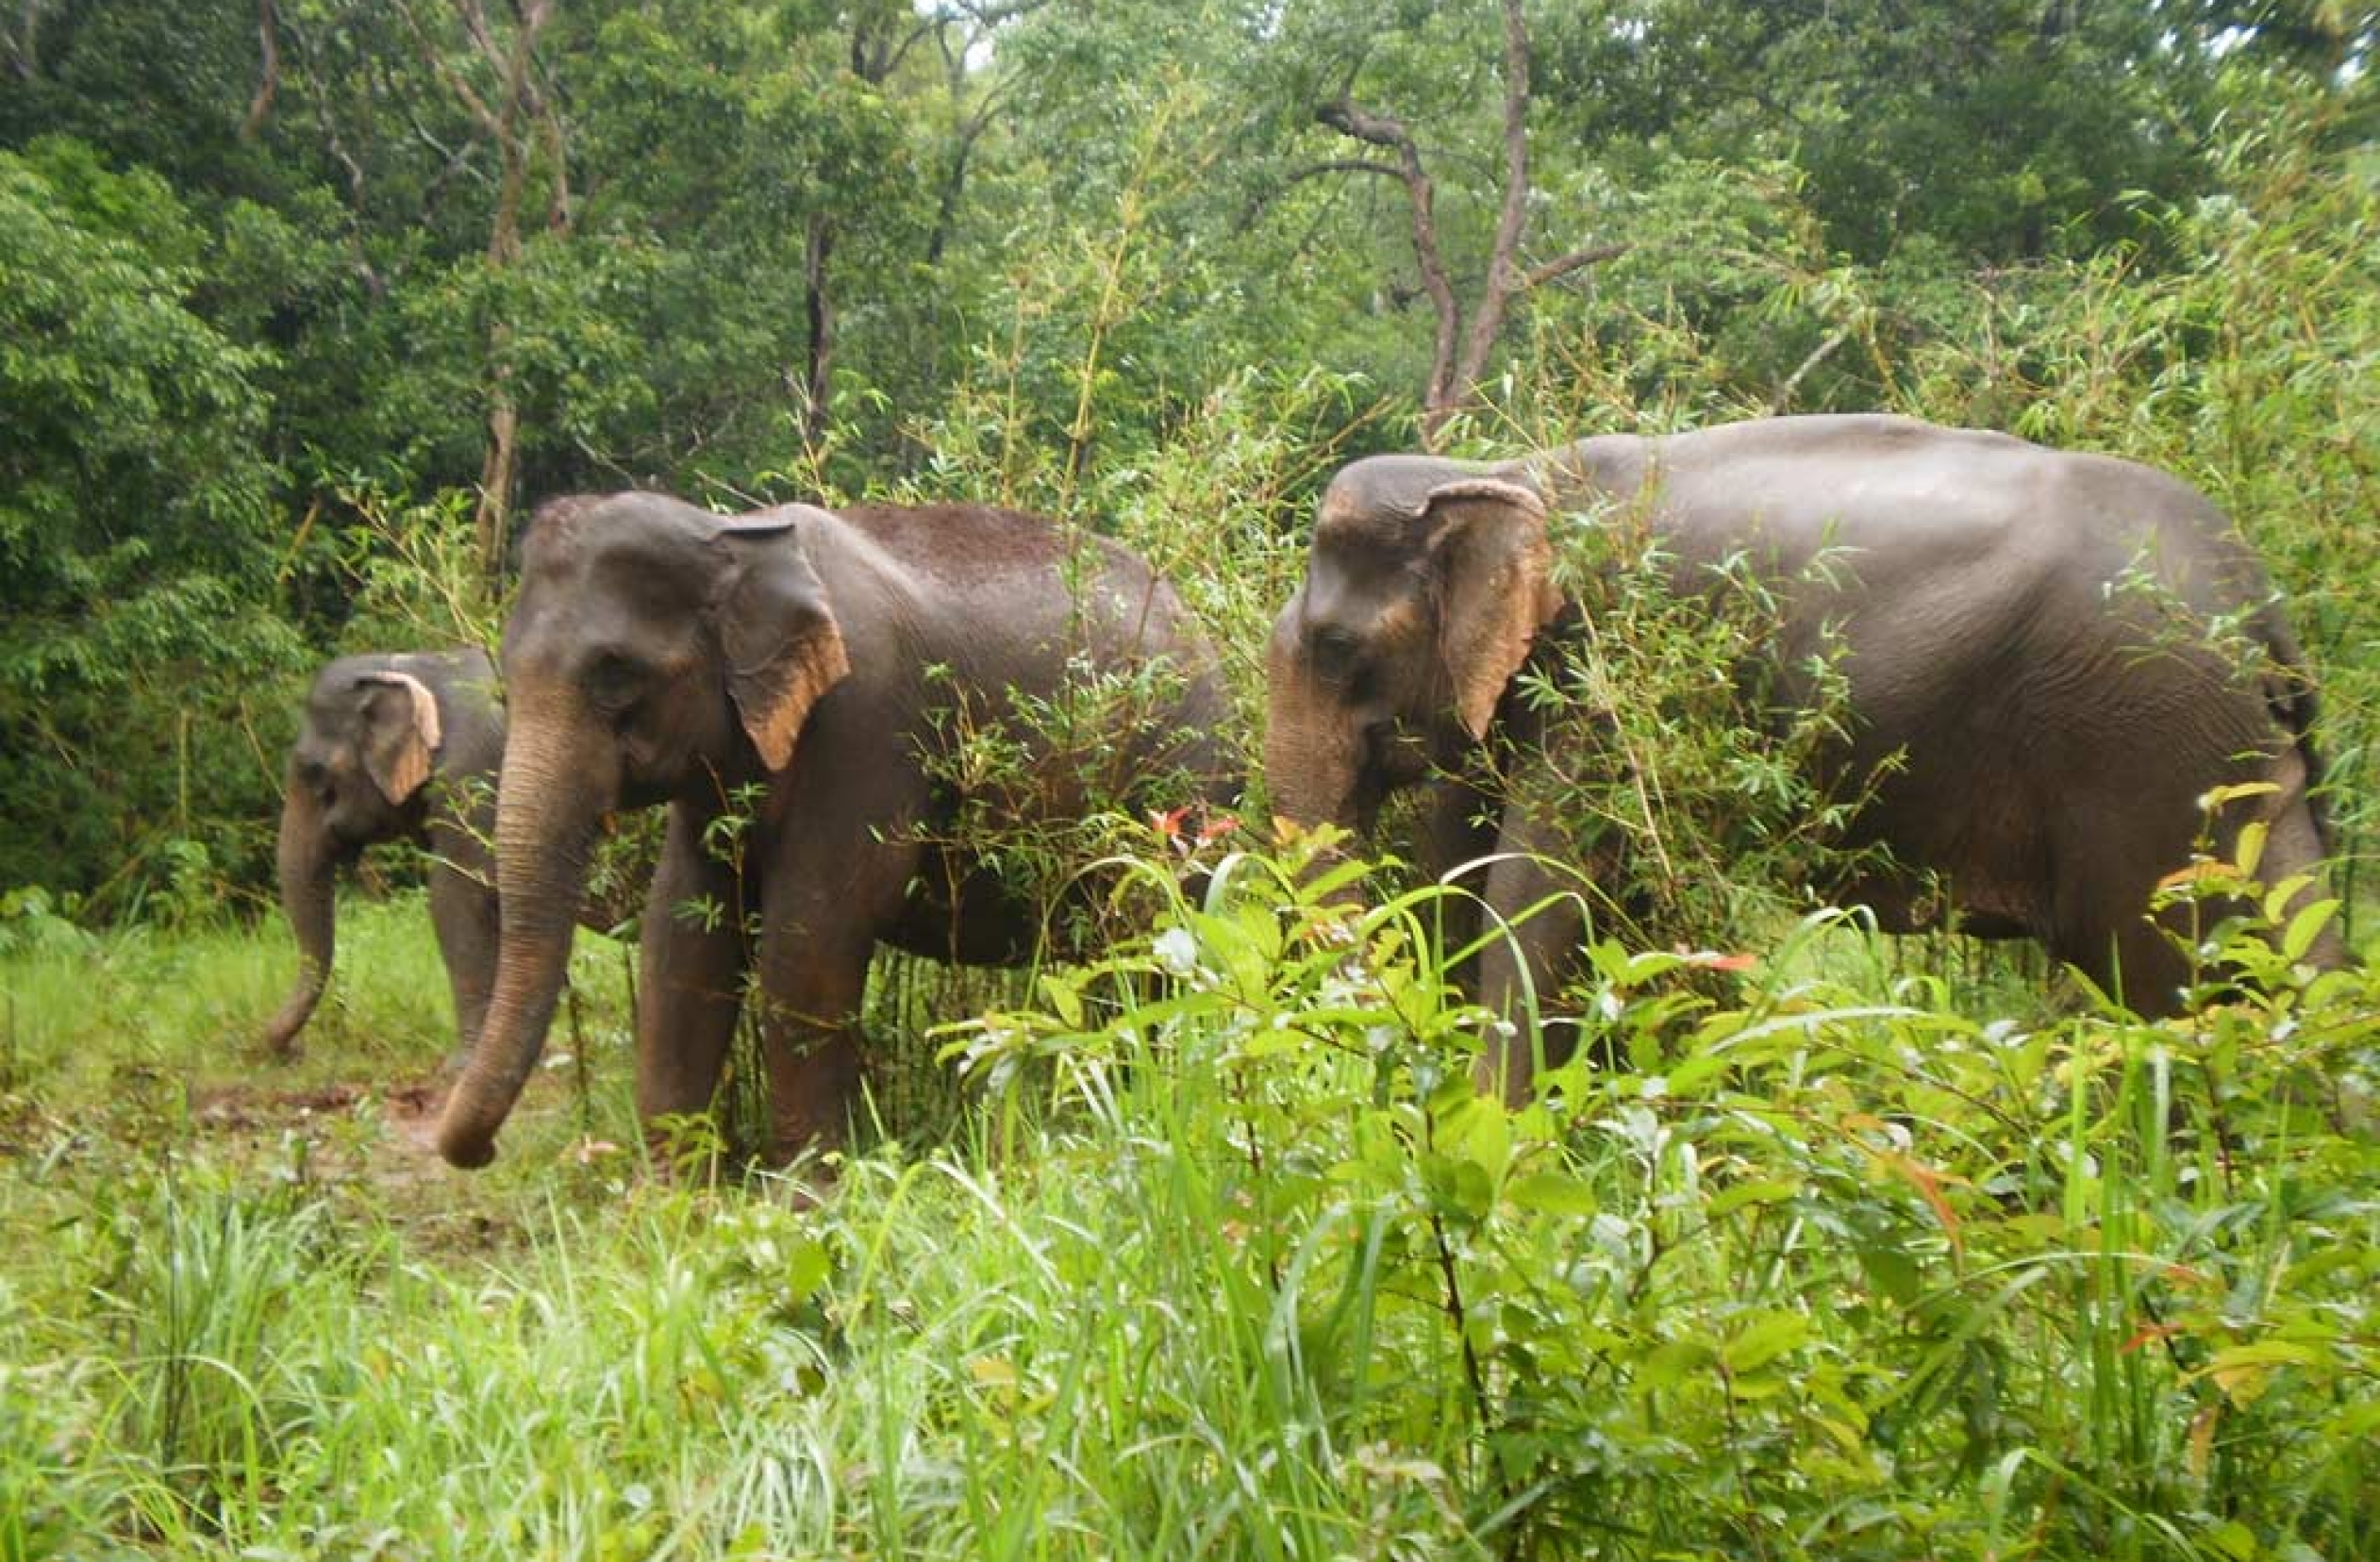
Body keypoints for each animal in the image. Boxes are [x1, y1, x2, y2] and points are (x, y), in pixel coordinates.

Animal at [435, 495, 1237, 1166]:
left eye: (615, 676)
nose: (483, 1152)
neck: (731, 531)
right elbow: (683, 937)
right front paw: (670, 1198)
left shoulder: (864, 724)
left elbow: (811, 937)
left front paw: (804, 1192)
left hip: (1182, 790)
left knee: (1149, 934)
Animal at [1266, 411, 2341, 1100]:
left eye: (1334, 645)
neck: (1506, 467)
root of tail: (2261, 610)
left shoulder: (1608, 678)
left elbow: (1543, 897)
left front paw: (1497, 1138)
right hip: (2225, 758)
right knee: (2289, 955)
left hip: (2144, 745)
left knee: (2178, 975)